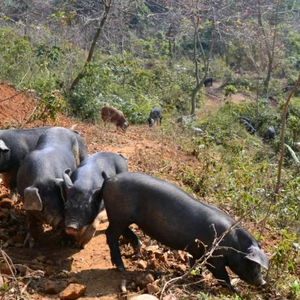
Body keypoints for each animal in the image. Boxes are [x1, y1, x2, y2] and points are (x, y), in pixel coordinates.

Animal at [95, 172, 268, 292]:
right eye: (251, 263)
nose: (262, 282)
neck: (233, 244)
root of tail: (109, 179)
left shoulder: (198, 251)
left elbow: (195, 263)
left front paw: (196, 275)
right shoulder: (214, 258)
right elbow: (223, 277)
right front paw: (235, 291)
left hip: (122, 216)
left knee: (122, 231)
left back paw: (138, 248)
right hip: (119, 214)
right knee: (110, 235)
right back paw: (121, 267)